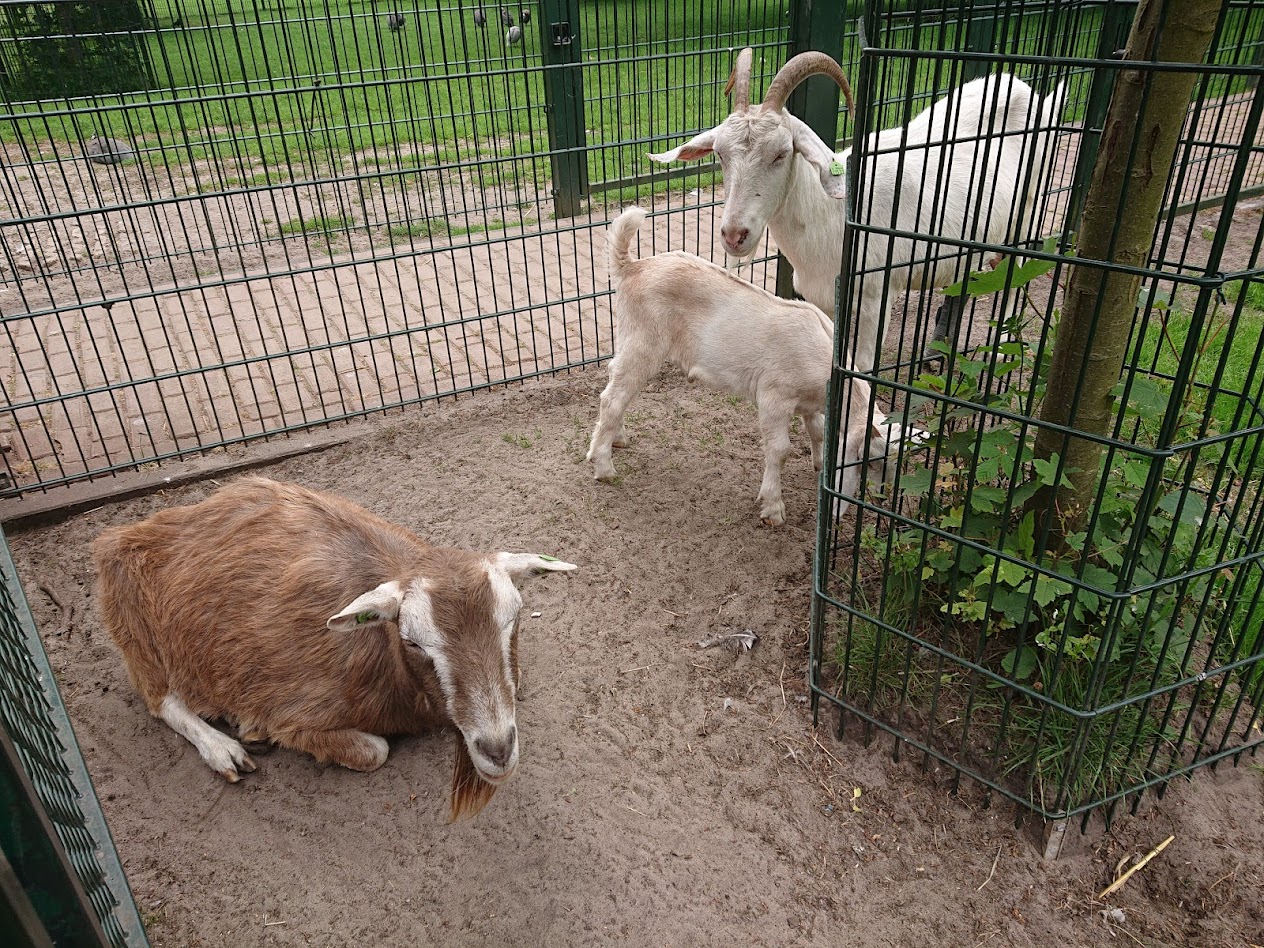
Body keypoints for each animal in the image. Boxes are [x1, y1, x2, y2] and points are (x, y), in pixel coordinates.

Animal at [91, 477, 576, 819]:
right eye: (412, 640)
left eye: (514, 617)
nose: (497, 751)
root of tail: (125, 536)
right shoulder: (294, 712)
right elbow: (373, 751)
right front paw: (252, 730)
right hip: (134, 627)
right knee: (161, 700)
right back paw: (224, 748)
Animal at [586, 207, 894, 528]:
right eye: (871, 460)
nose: (881, 497)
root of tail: (632, 267)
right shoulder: (774, 395)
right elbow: (779, 450)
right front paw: (773, 508)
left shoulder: (811, 403)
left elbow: (818, 432)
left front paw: (820, 467)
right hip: (644, 340)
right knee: (612, 397)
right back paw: (603, 466)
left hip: (630, 338)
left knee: (615, 382)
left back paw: (617, 438)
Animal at [652, 49, 1066, 374]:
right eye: (720, 154)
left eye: (782, 153)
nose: (734, 235)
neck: (831, 216)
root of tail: (1037, 97)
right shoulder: (825, 299)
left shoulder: (875, 294)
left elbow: (862, 367)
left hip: (1026, 214)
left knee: (1016, 273)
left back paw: (1001, 352)